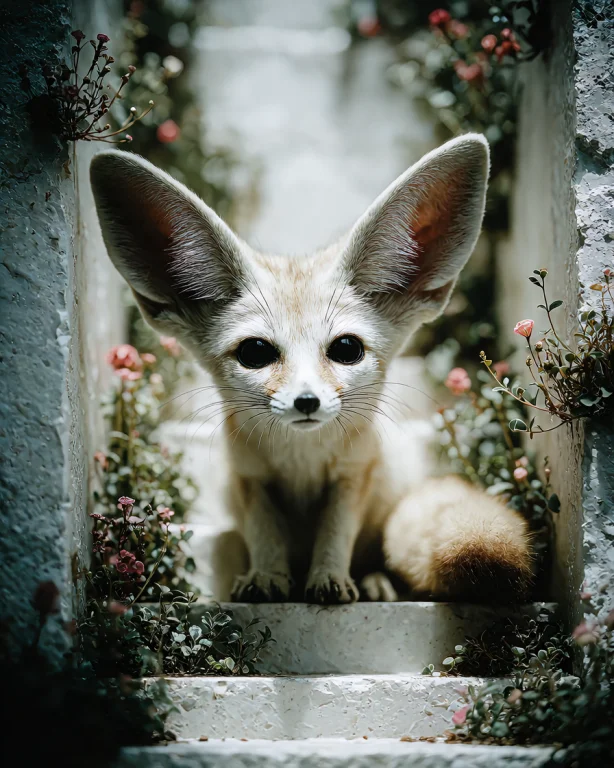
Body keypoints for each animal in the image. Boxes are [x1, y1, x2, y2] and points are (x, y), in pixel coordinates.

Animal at [90, 134, 533, 605]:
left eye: (346, 349)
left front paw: (329, 579)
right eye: (255, 353)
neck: (300, 460)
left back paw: (374, 581)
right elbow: (264, 535)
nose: (307, 401)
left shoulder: (352, 477)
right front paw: (266, 578)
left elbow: (336, 534)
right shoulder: (251, 479)